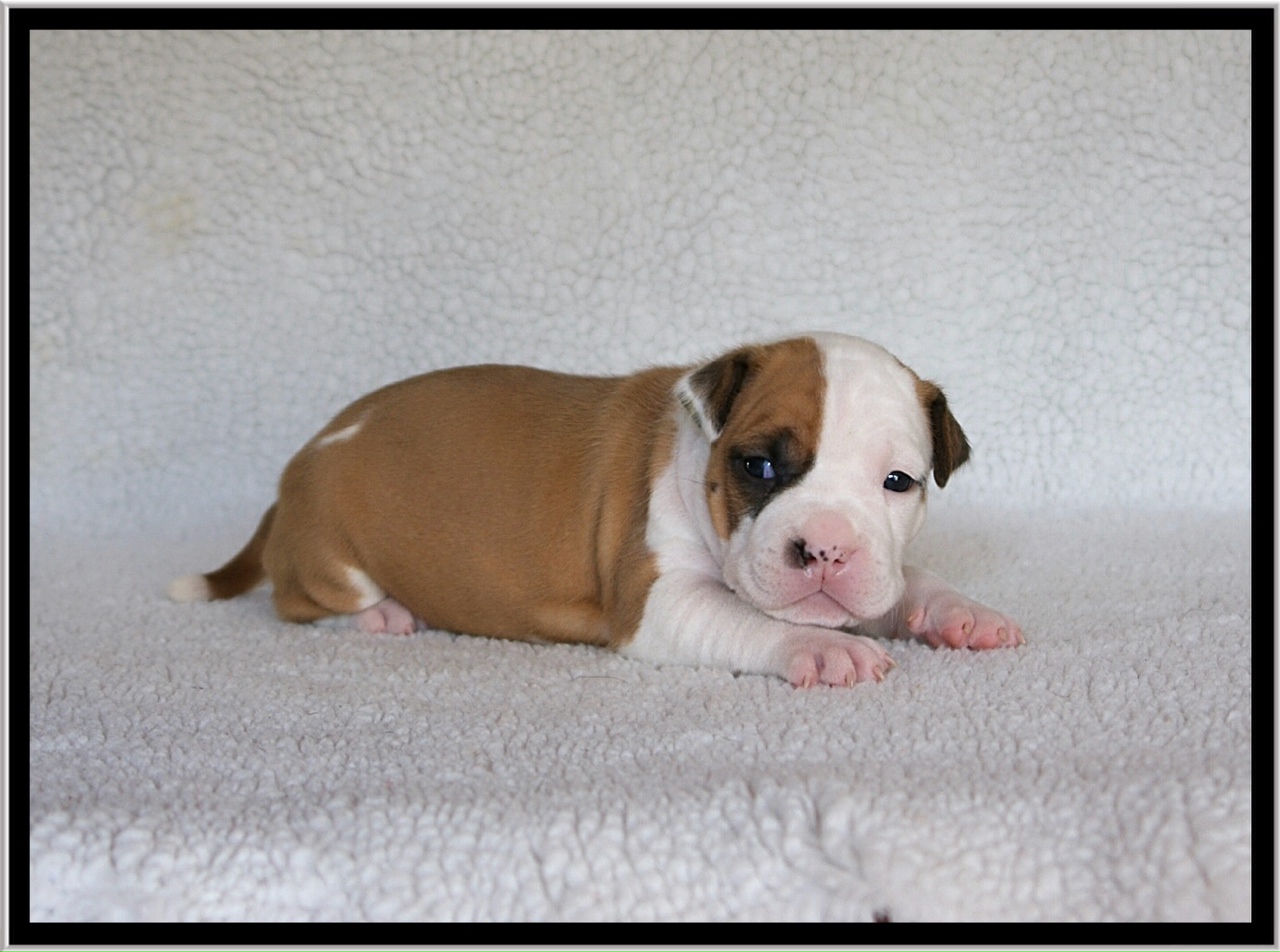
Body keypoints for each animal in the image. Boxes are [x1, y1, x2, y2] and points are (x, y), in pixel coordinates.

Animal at [170, 332, 1023, 687]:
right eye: (758, 466)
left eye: (897, 482)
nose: (828, 550)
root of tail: (297, 467)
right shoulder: (661, 603)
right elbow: (752, 621)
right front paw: (822, 649)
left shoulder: (876, 573)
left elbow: (907, 581)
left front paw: (960, 614)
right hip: (330, 562)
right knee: (301, 603)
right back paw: (380, 614)